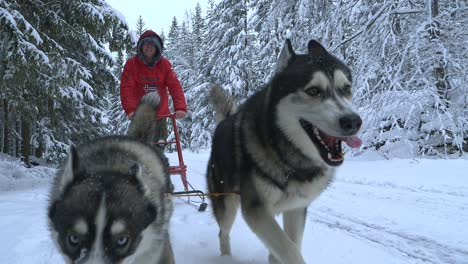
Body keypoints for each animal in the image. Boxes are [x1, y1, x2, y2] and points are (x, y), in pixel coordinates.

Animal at [207, 39, 364, 264]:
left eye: (346, 88)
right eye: (314, 90)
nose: (353, 122)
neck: (290, 161)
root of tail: (222, 123)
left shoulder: (296, 208)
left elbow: (290, 244)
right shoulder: (256, 210)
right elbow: (290, 250)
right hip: (227, 203)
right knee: (223, 232)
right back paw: (226, 258)